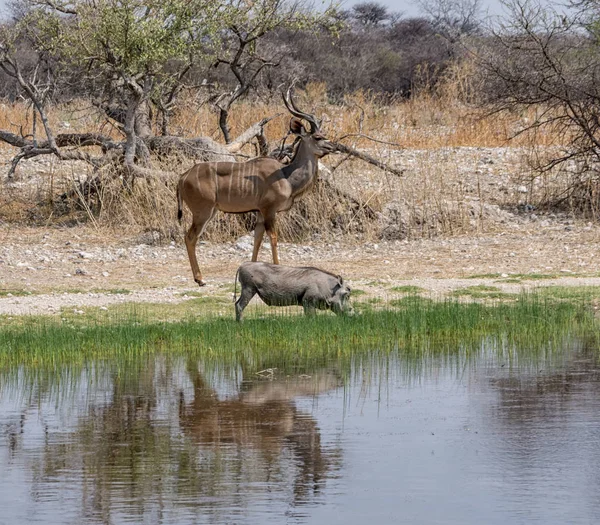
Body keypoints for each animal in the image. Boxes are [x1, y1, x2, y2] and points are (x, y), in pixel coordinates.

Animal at [176, 90, 336, 286]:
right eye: (318, 137)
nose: (334, 146)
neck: (286, 176)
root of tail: (183, 177)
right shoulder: (269, 210)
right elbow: (273, 238)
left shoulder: (259, 212)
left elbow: (257, 239)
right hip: (203, 211)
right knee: (190, 237)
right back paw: (200, 279)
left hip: (210, 211)